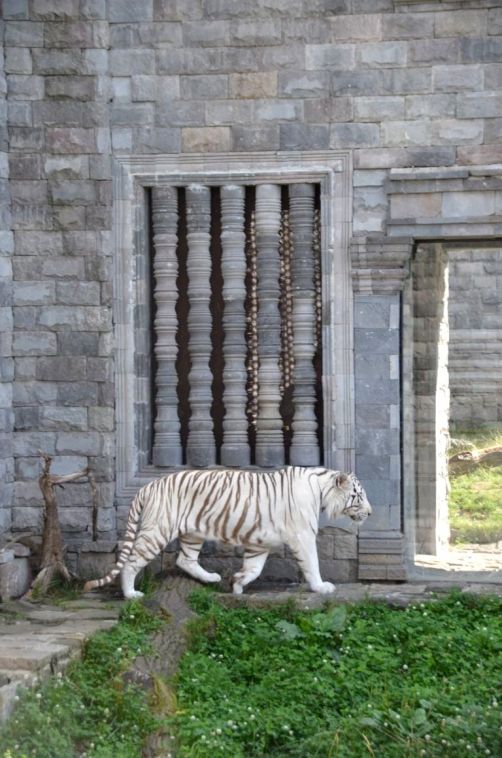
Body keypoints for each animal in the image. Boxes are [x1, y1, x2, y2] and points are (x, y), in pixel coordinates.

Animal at [84, 467, 371, 599]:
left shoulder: (260, 541)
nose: (369, 513)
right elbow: (312, 563)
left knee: (184, 559)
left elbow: (254, 567)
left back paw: (211, 578)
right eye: (358, 496)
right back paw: (130, 594)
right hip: (157, 531)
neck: (321, 489)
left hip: (192, 533)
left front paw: (238, 583)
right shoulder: (302, 535)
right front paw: (322, 587)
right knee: (131, 562)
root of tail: (148, 486)